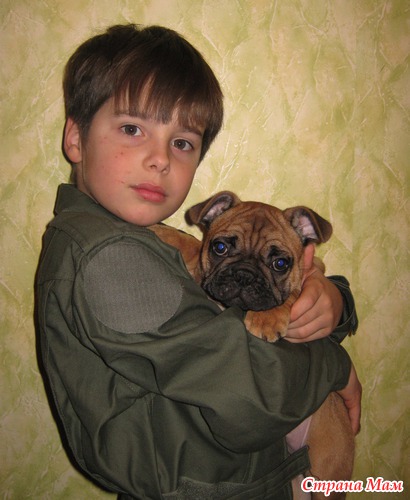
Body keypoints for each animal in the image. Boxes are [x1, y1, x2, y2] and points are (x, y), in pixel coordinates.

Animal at [150, 191, 354, 499]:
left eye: (280, 264)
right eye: (219, 247)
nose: (244, 274)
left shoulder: (312, 273)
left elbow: (291, 294)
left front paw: (267, 318)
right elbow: (194, 245)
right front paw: (163, 231)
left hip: (327, 471)